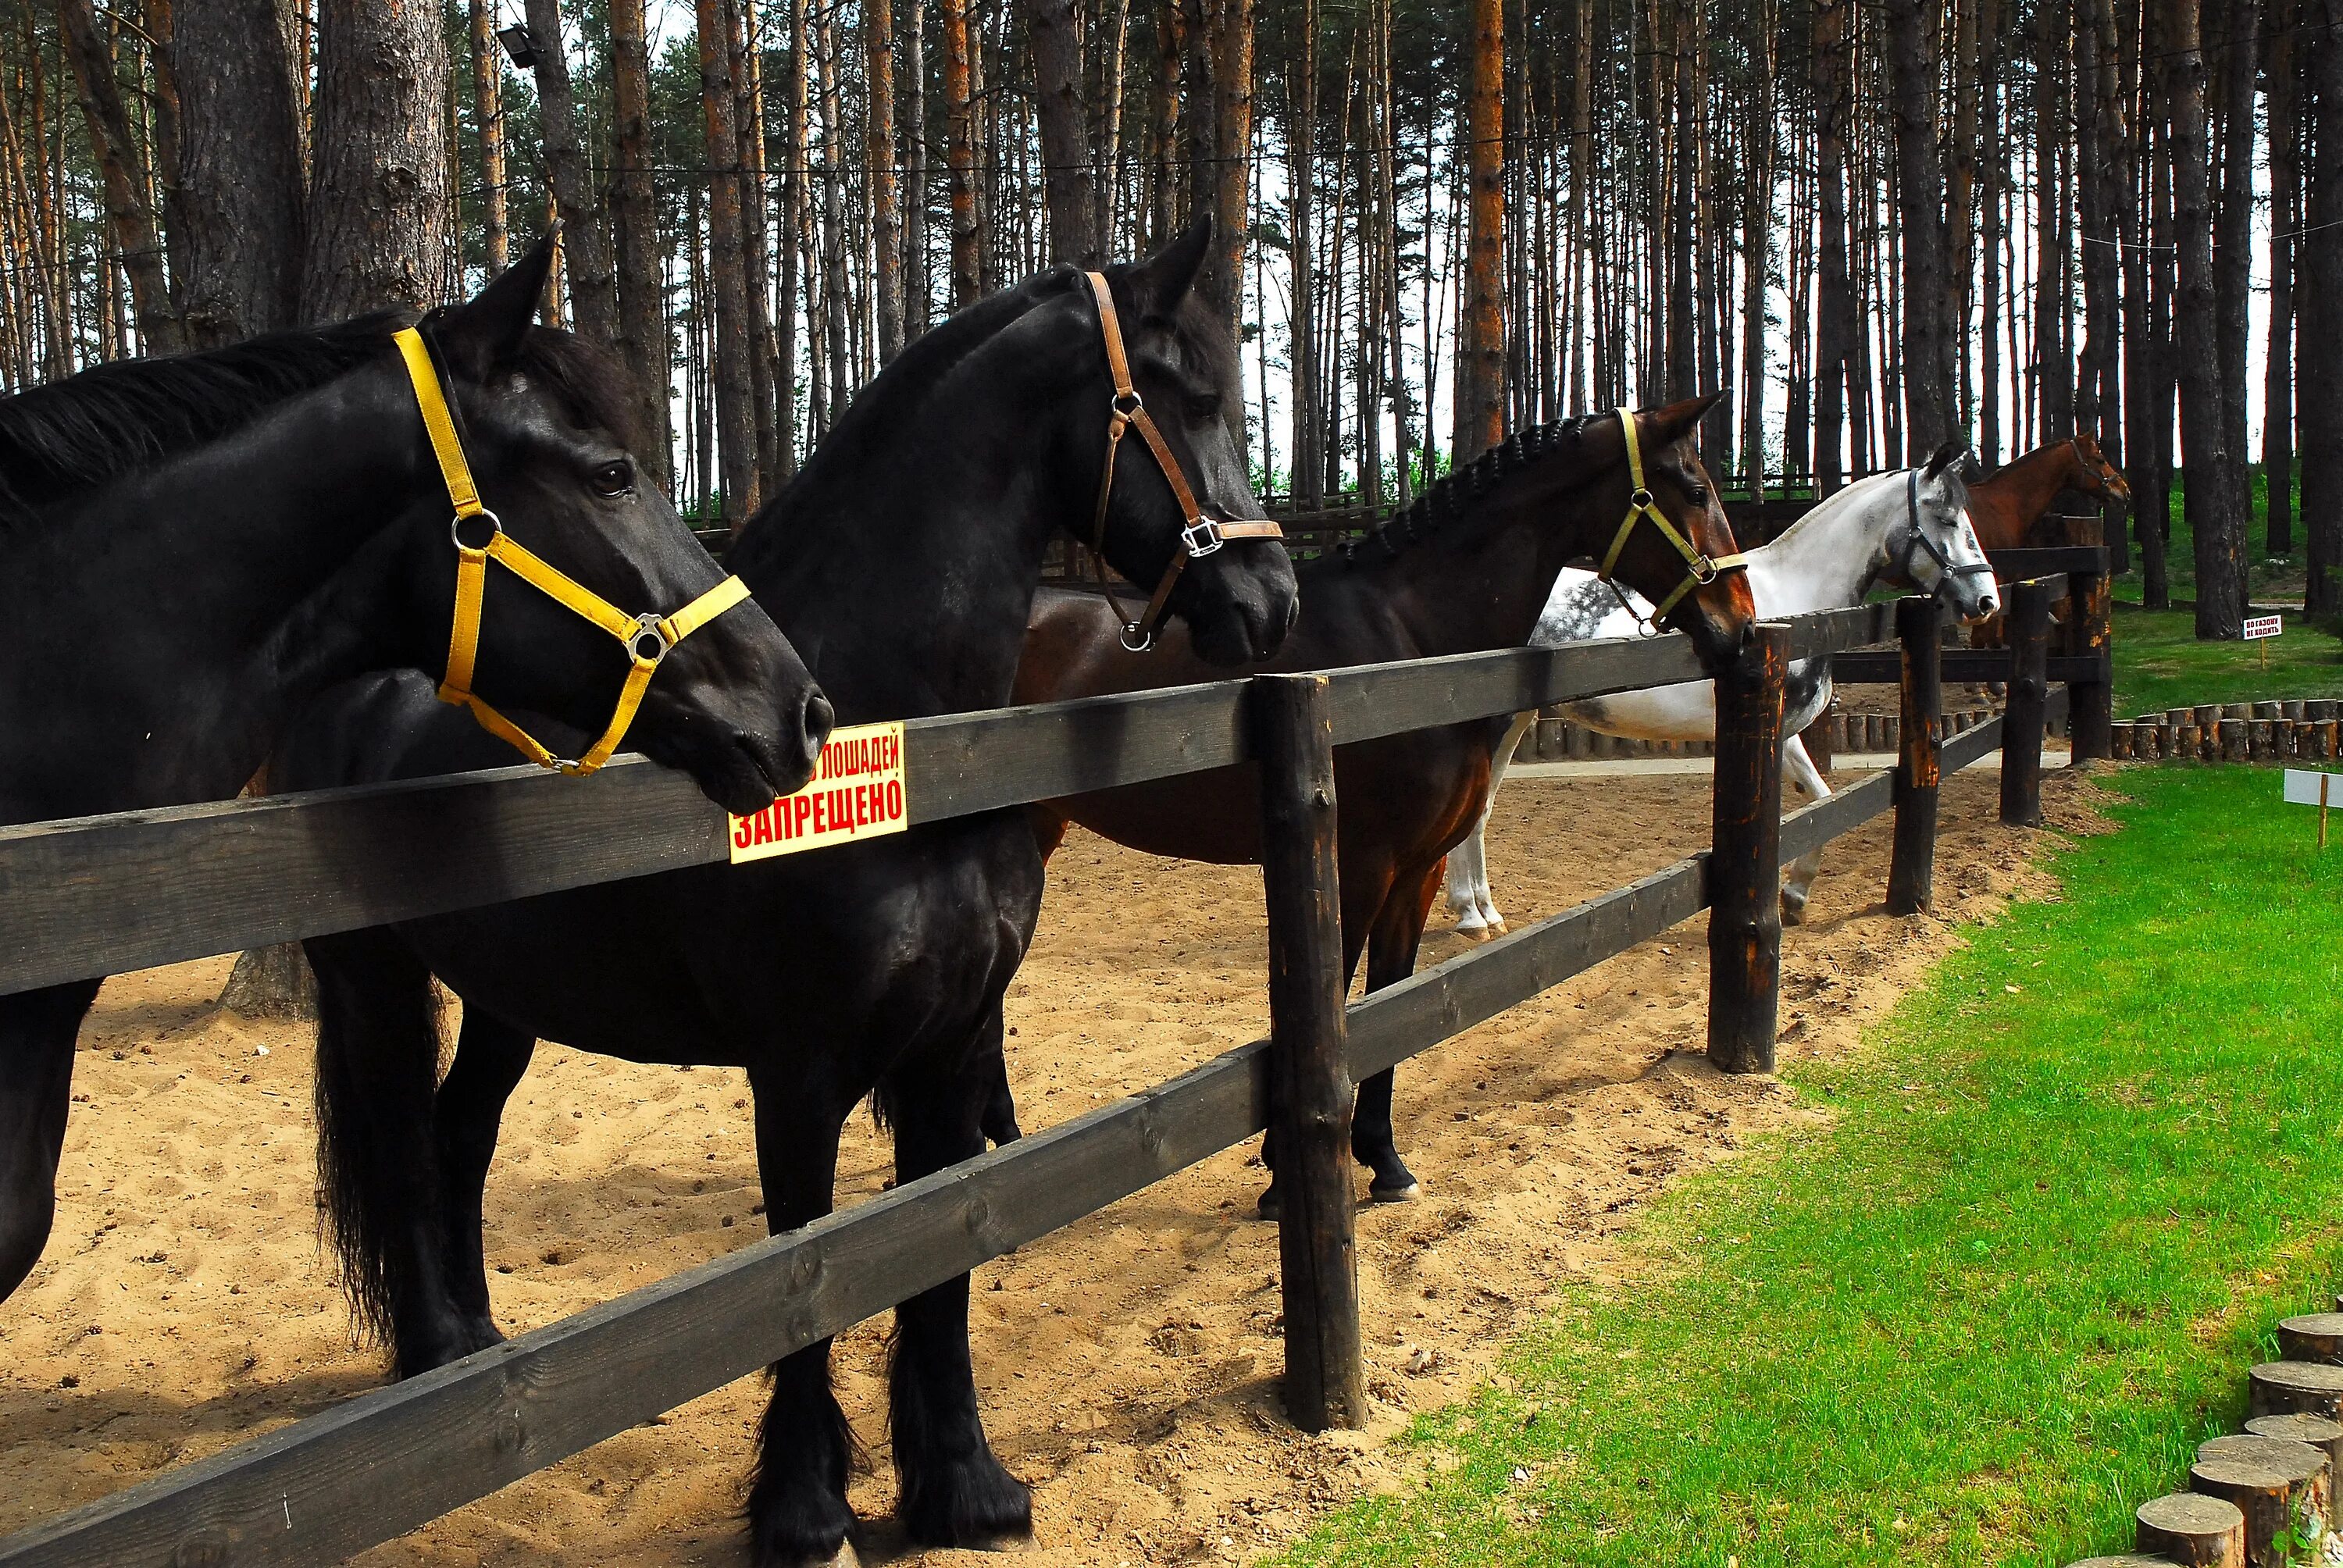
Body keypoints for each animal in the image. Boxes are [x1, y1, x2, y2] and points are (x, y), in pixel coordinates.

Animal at [279, 226, 1303, 1556]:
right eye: (1184, 398)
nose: (1273, 602)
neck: (896, 735)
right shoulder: (801, 1072)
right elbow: (804, 1282)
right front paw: (807, 1512)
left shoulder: (953, 1050)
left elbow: (936, 1265)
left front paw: (962, 1488)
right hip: (374, 982)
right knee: (403, 1149)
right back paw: (436, 1363)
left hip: (509, 998)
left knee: (460, 1140)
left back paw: (481, 1356)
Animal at [1007, 401, 1762, 1209]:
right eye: (1694, 489)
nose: (1742, 625)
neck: (1409, 644)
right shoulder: (1359, 869)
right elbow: (1340, 1004)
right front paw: (1286, 1180)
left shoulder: (1418, 872)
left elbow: (1391, 1004)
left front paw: (1384, 1160)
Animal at [1443, 443, 1996, 928]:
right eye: (1947, 520)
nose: (1986, 601)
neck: (1795, 602)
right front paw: (1785, 897)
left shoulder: (1789, 736)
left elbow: (1820, 803)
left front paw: (1796, 897)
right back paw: (1473, 916)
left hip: (1515, 722)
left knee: (1479, 811)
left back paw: (1480, 910)